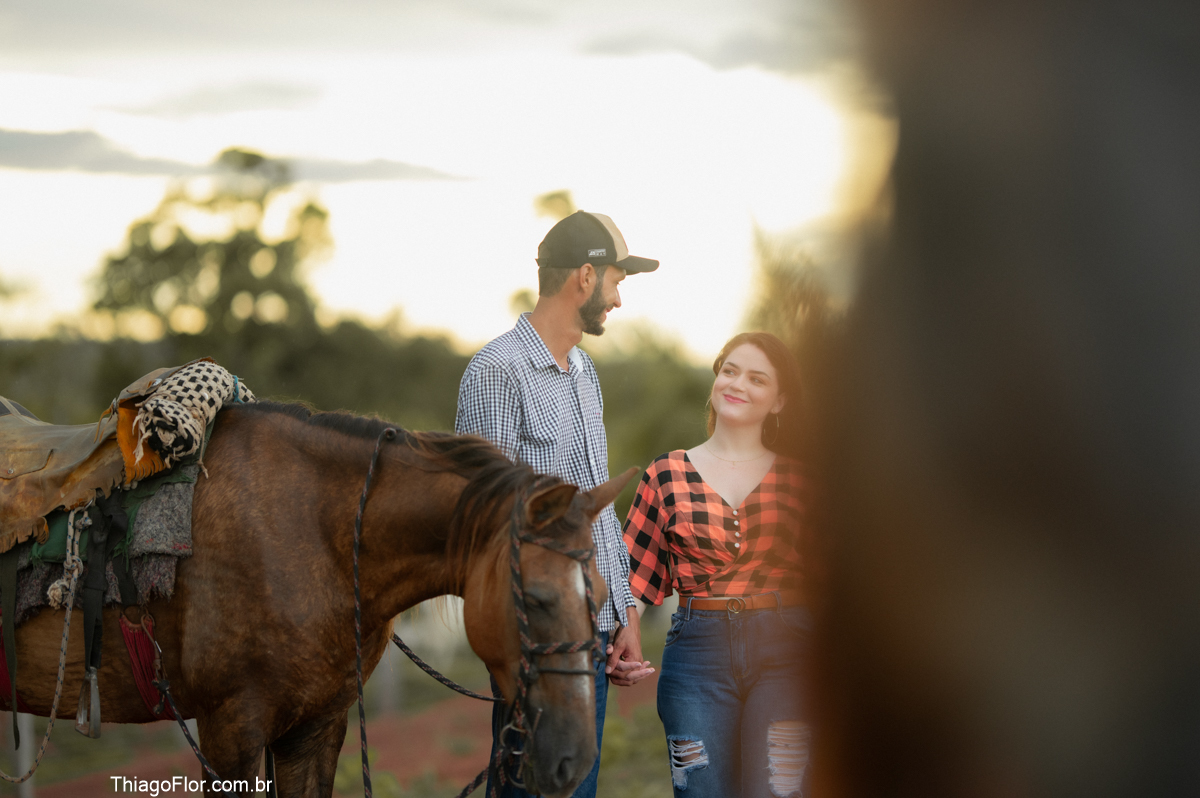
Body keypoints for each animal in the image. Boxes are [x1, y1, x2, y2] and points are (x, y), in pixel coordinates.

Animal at [6, 399, 635, 797]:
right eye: (537, 597)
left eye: (602, 593)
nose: (575, 760)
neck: (311, 531)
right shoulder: (229, 732)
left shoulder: (316, 727)